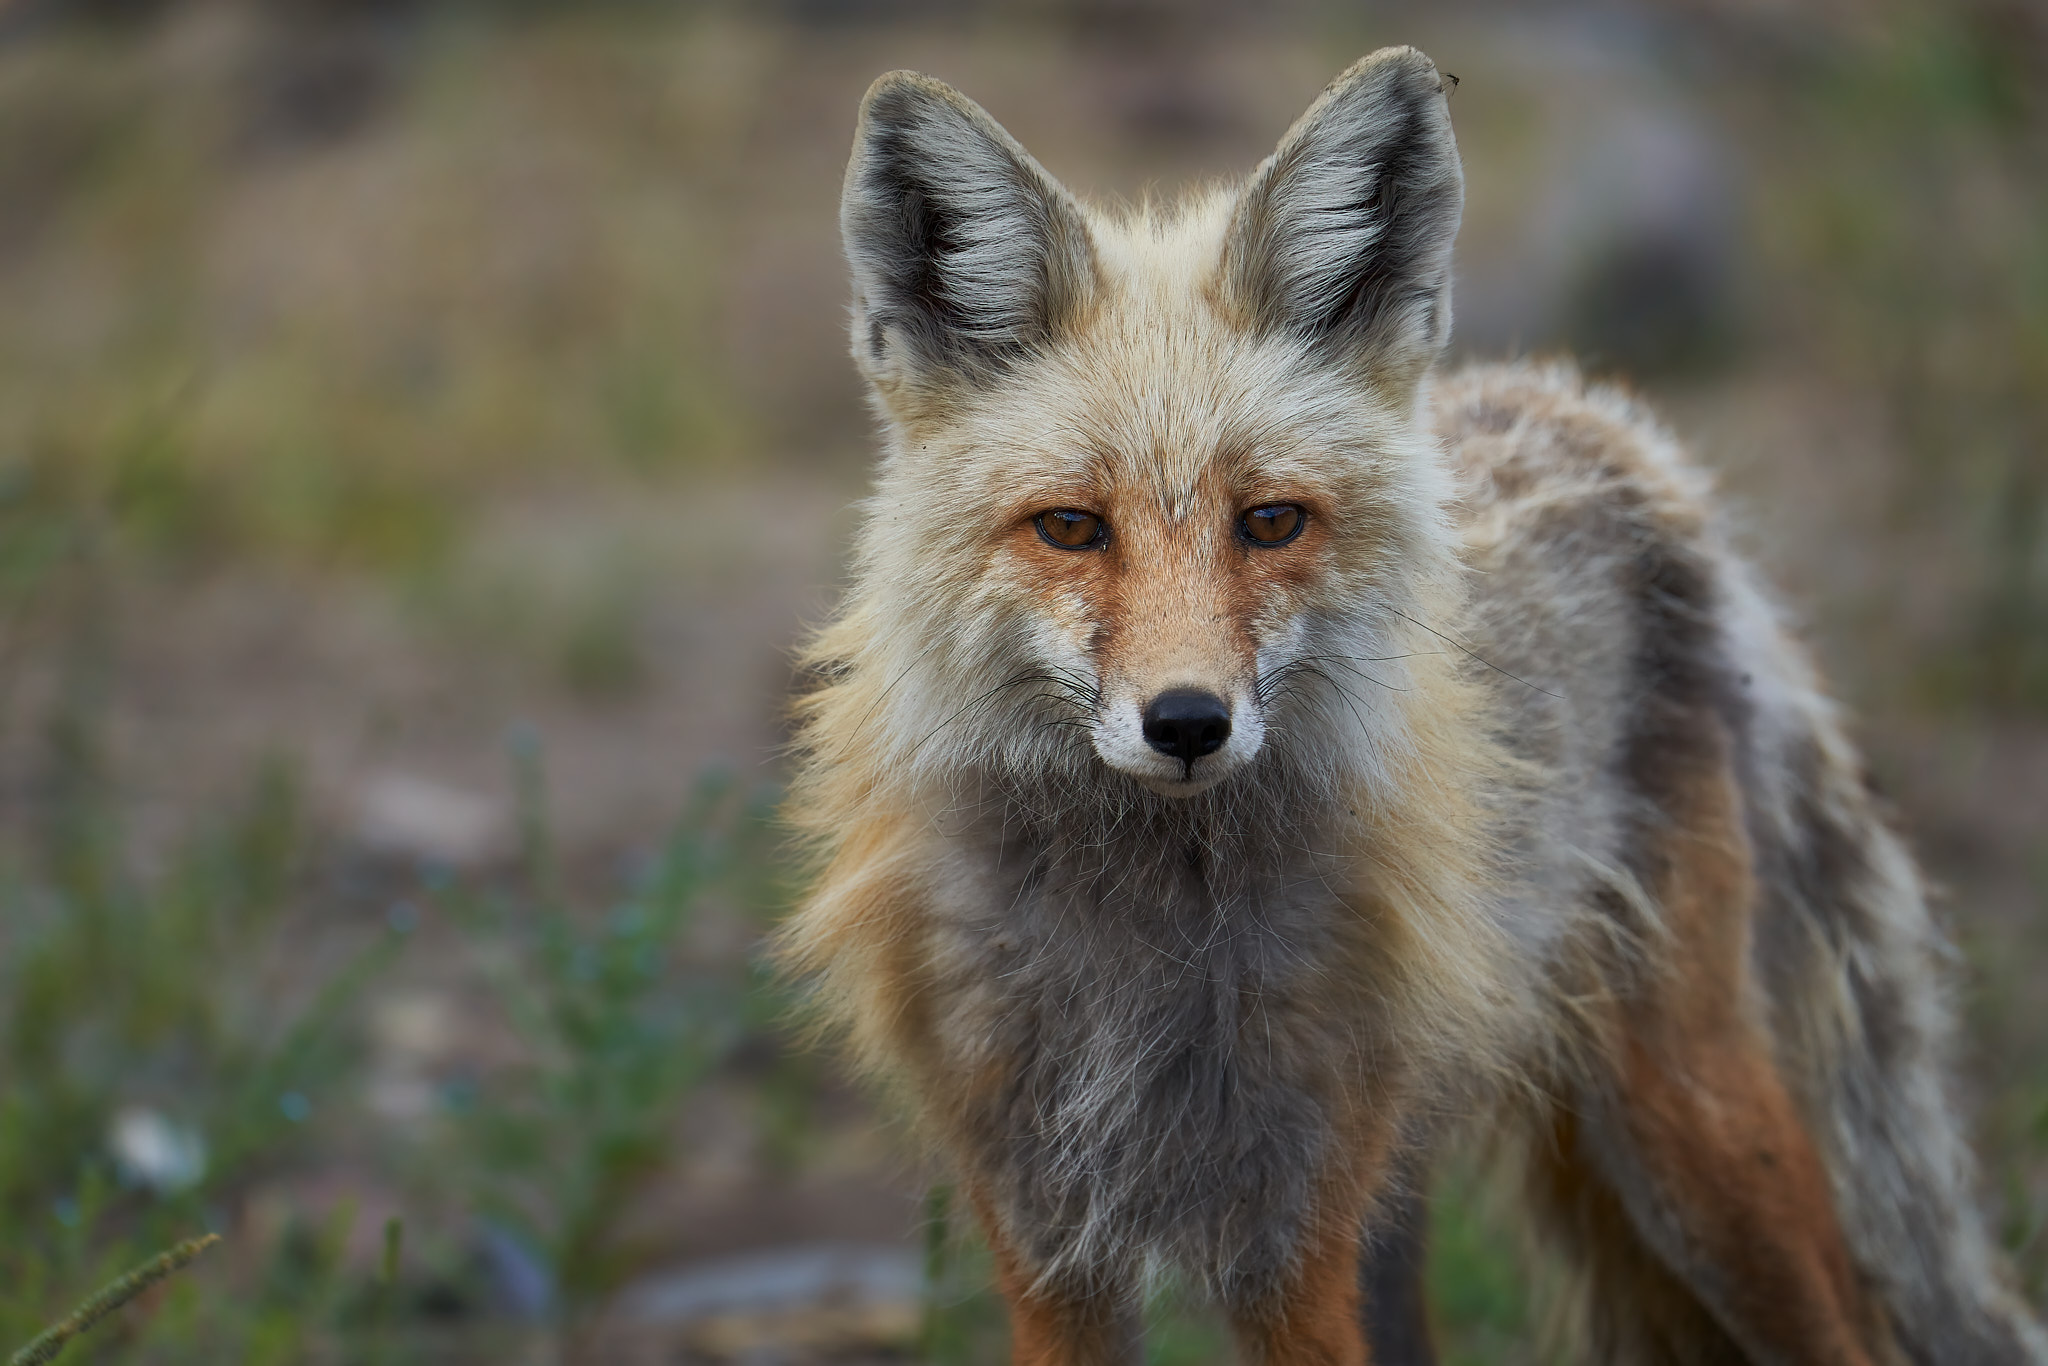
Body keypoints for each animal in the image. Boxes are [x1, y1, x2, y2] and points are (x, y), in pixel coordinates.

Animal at [777, 46, 2048, 1366]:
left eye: (1270, 521)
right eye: (1070, 527)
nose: (1186, 722)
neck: (1142, 952)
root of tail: (1598, 414)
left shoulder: (1295, 1232)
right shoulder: (1044, 1233)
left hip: (1682, 1127)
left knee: (1849, 1320)